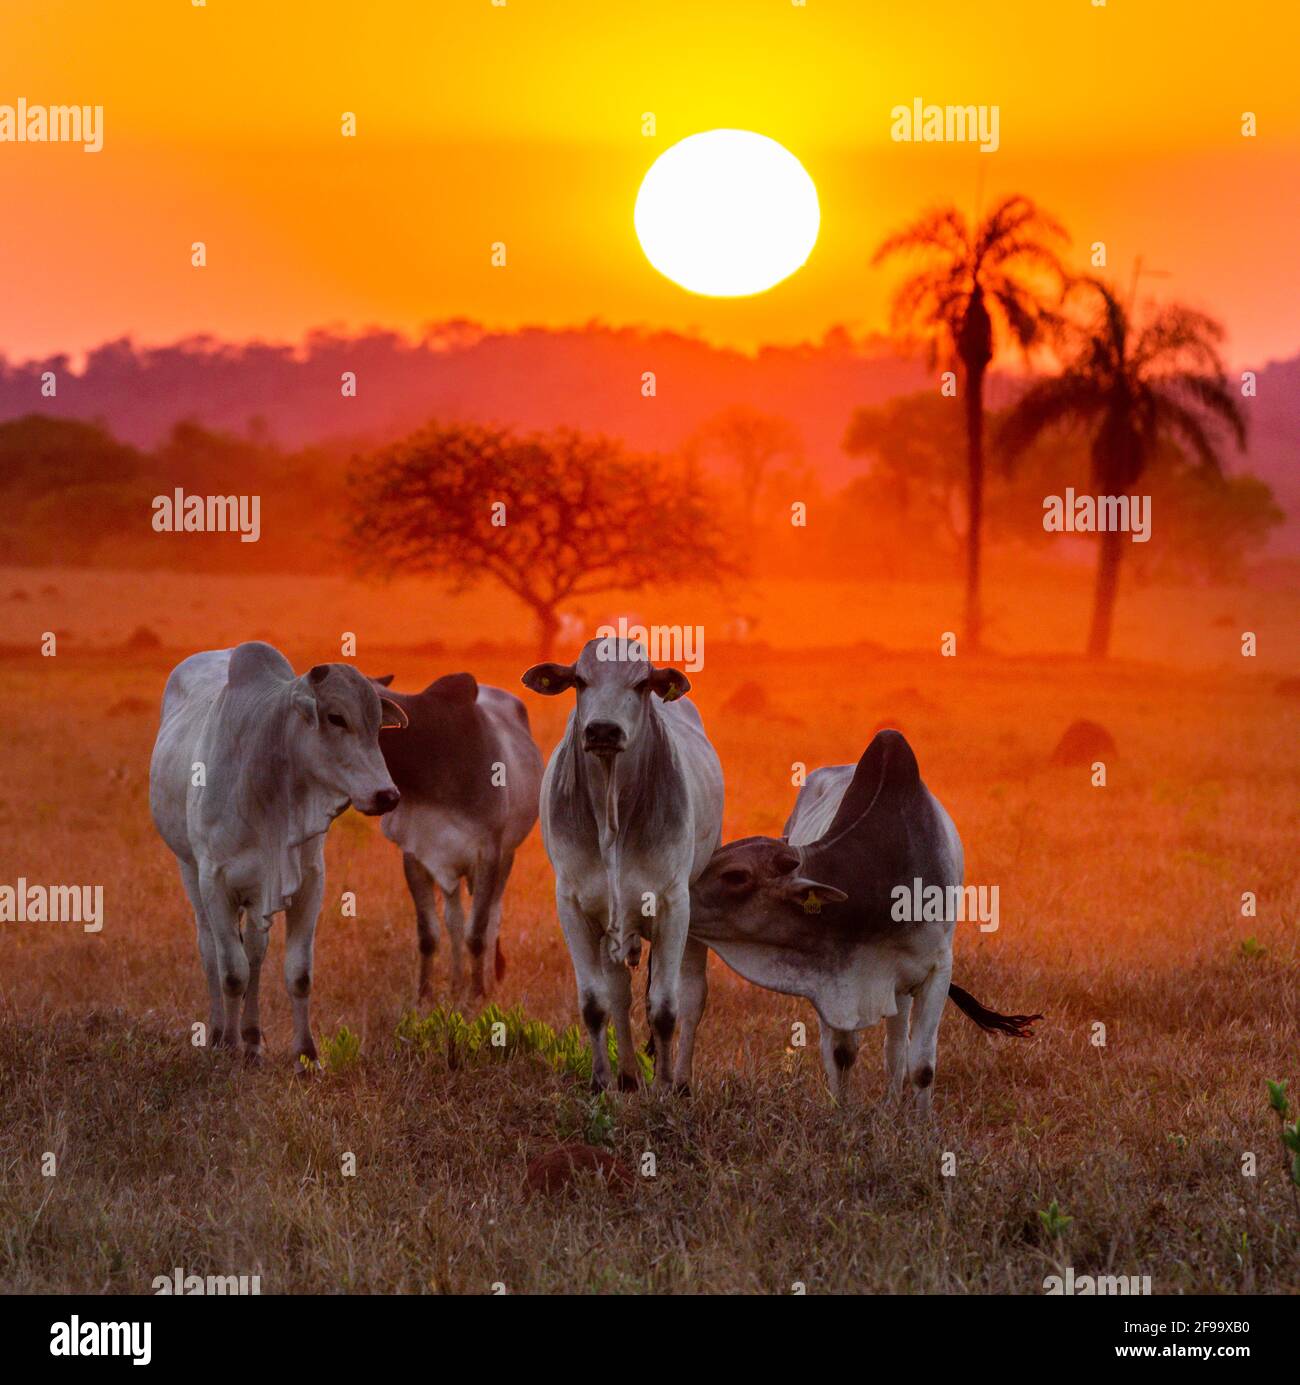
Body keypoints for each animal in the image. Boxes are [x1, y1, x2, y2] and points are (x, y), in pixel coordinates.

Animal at [147, 642, 404, 1063]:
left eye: (378, 723)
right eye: (336, 717)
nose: (387, 795)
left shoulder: (309, 881)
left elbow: (297, 973)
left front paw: (306, 1055)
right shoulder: (214, 879)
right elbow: (231, 971)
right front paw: (228, 1045)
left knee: (255, 950)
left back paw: (252, 1039)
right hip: (188, 869)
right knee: (210, 951)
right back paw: (219, 1032)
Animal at [520, 634, 725, 1091]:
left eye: (641, 683)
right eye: (580, 680)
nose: (602, 730)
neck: (612, 820)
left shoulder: (673, 905)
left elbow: (665, 1008)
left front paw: (663, 1086)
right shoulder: (574, 906)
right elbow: (596, 1004)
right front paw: (601, 1083)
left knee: (692, 997)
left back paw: (681, 1081)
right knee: (619, 994)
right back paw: (629, 1076)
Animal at [686, 736, 1041, 1113]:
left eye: (735, 875)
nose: (680, 889)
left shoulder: (936, 970)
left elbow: (922, 1065)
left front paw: (923, 1123)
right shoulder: (833, 974)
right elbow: (842, 1054)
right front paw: (840, 1113)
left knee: (896, 1047)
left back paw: (891, 1105)